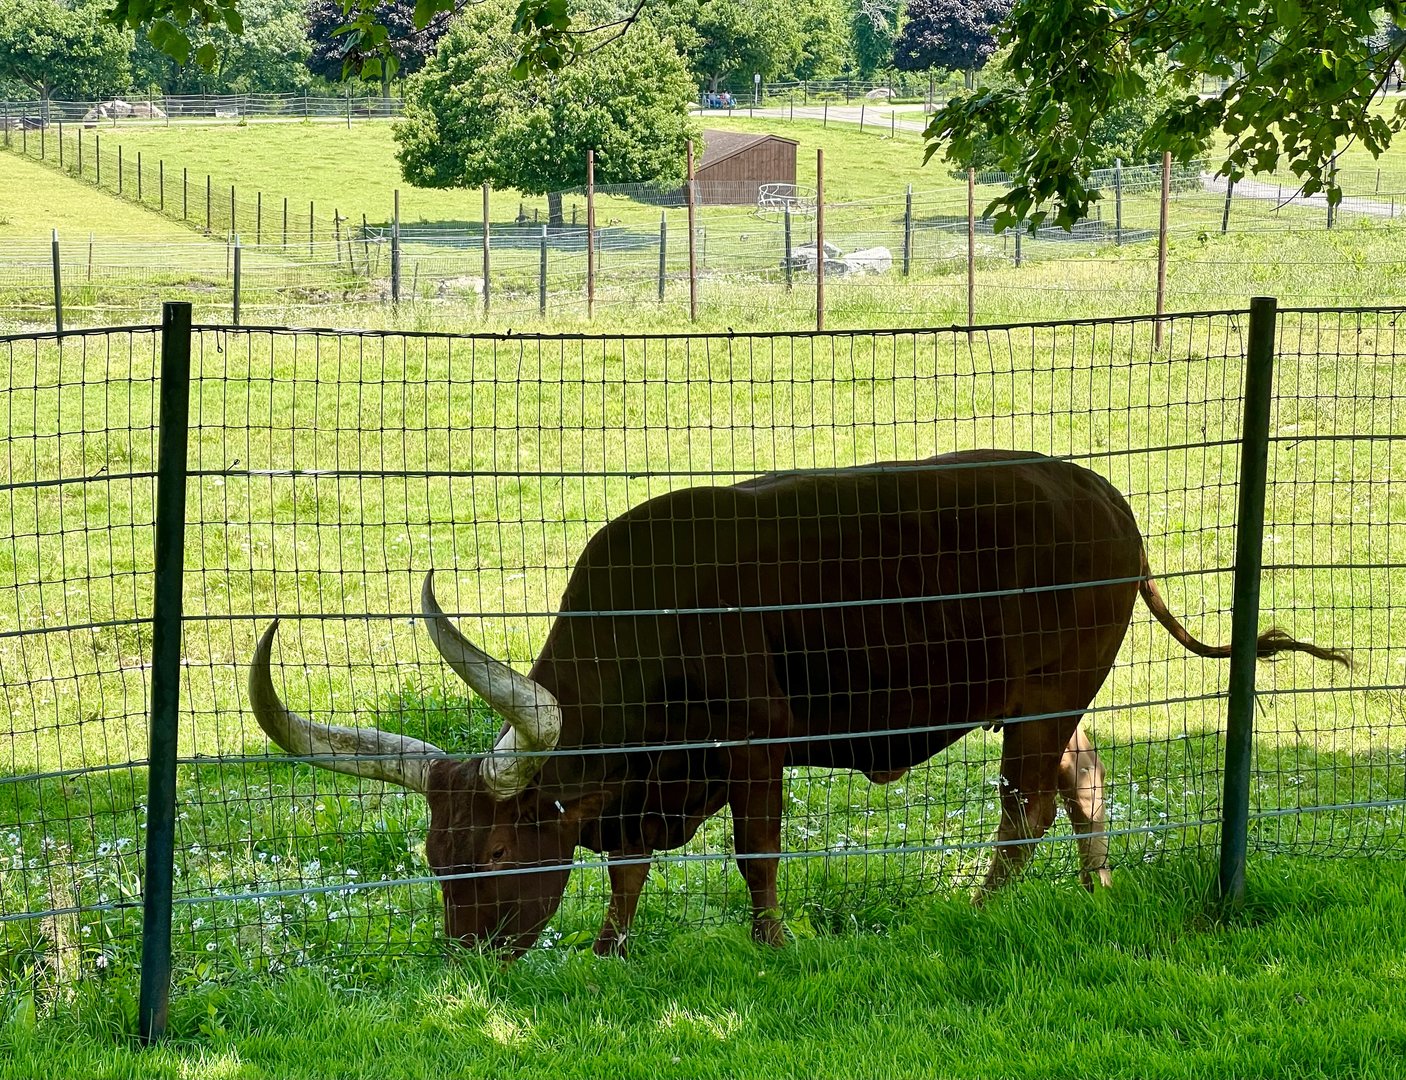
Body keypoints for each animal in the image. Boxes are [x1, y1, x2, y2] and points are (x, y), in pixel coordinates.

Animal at [247, 450, 1349, 960]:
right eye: (435, 856)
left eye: (486, 851)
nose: (467, 956)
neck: (651, 610)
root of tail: (1102, 497)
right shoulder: (652, 783)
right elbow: (625, 868)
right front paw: (609, 950)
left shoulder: (754, 742)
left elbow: (756, 852)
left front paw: (772, 945)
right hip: (1050, 703)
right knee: (1083, 785)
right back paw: (1097, 893)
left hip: (1044, 699)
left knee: (1026, 806)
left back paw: (978, 910)